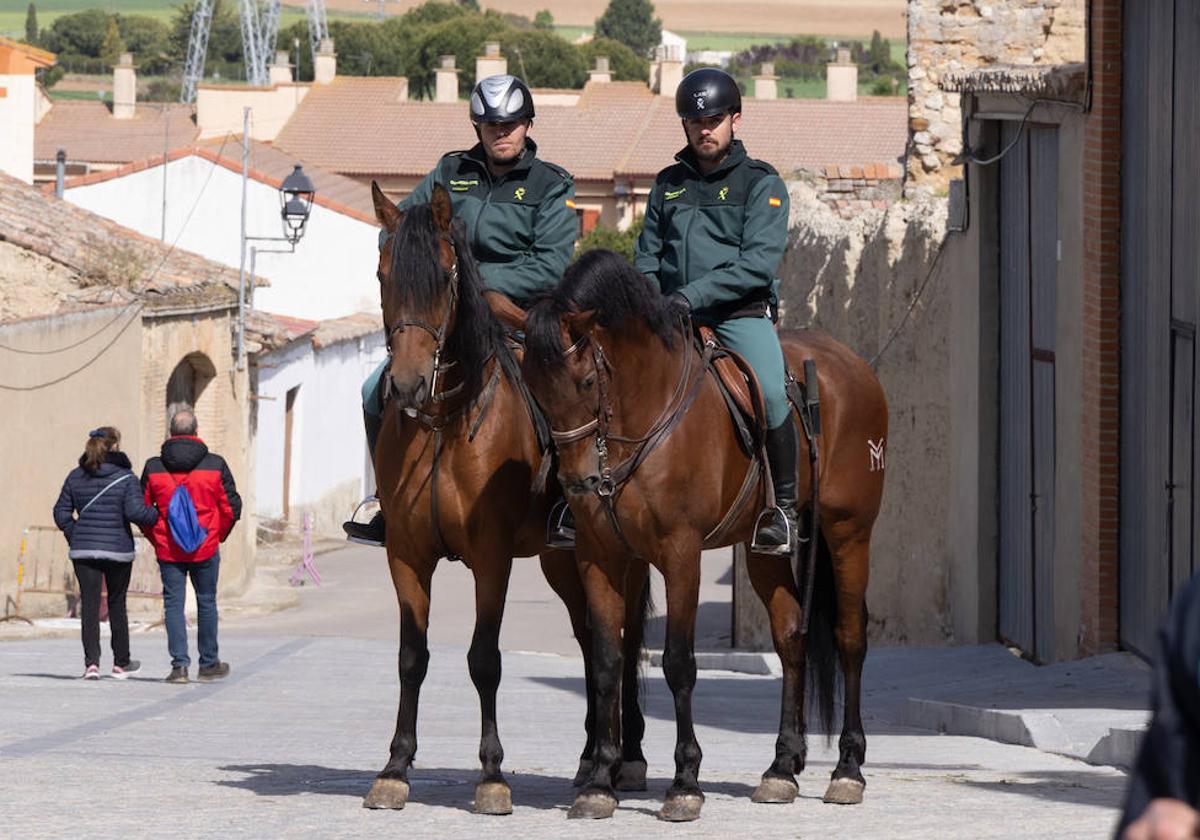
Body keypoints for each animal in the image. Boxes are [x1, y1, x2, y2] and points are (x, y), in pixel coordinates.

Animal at [362, 183, 652, 816]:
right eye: (382, 273)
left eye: (445, 276)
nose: (407, 385)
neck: (446, 421)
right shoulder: (406, 557)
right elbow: (411, 658)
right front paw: (394, 768)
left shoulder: (490, 559)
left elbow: (484, 660)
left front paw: (492, 776)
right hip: (561, 559)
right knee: (591, 640)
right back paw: (590, 759)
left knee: (624, 640)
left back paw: (627, 760)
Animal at [525, 249, 892, 820]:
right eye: (533, 388)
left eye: (585, 382)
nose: (577, 482)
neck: (644, 413)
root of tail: (851, 365)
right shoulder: (599, 554)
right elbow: (606, 661)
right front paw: (599, 782)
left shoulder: (681, 554)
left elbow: (678, 661)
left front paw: (685, 783)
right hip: (764, 552)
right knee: (791, 635)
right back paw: (781, 768)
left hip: (848, 530)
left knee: (849, 638)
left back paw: (848, 771)